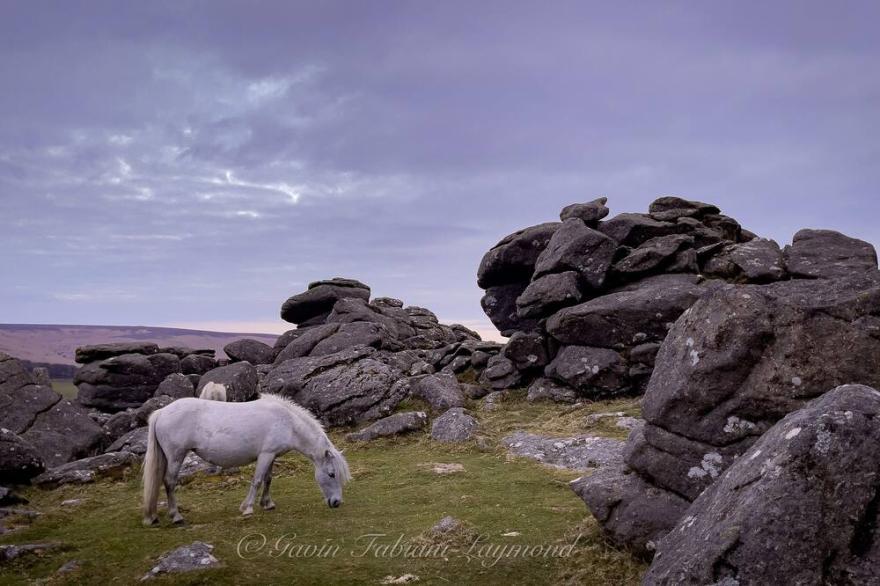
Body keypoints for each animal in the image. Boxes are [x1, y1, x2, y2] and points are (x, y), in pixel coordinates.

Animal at [141, 392, 350, 524]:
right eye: (331, 474)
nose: (336, 503)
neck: (288, 423)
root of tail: (161, 412)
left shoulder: (272, 455)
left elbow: (268, 479)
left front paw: (267, 504)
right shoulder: (265, 455)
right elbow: (257, 480)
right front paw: (248, 508)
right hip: (176, 456)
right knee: (169, 482)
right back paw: (176, 516)